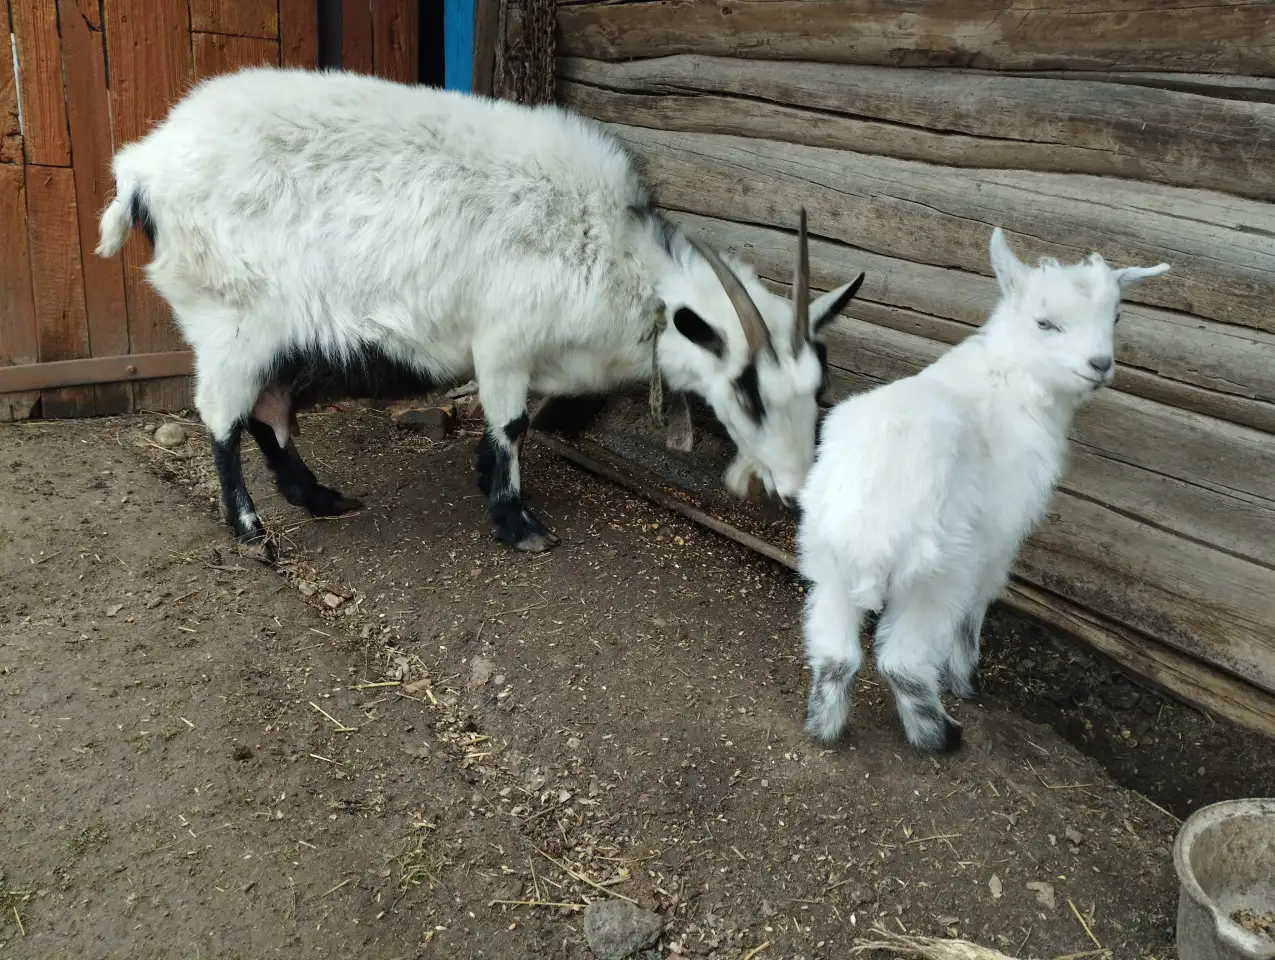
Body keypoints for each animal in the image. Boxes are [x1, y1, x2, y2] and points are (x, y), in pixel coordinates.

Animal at [96, 67, 865, 561]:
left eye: (819, 391)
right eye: (747, 389)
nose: (796, 489)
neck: (615, 251)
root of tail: (142, 167)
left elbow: (515, 424)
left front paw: (485, 479)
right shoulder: (502, 342)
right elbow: (513, 422)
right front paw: (517, 521)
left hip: (280, 331)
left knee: (270, 412)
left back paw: (318, 498)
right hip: (227, 321)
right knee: (224, 418)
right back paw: (252, 530)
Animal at [795, 227, 1169, 752]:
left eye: (1116, 315)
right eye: (1044, 322)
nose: (1100, 364)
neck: (1009, 379)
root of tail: (872, 532)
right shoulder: (999, 536)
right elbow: (977, 609)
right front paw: (967, 681)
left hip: (826, 560)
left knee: (834, 652)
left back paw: (824, 727)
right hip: (938, 570)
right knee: (902, 660)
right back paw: (941, 735)